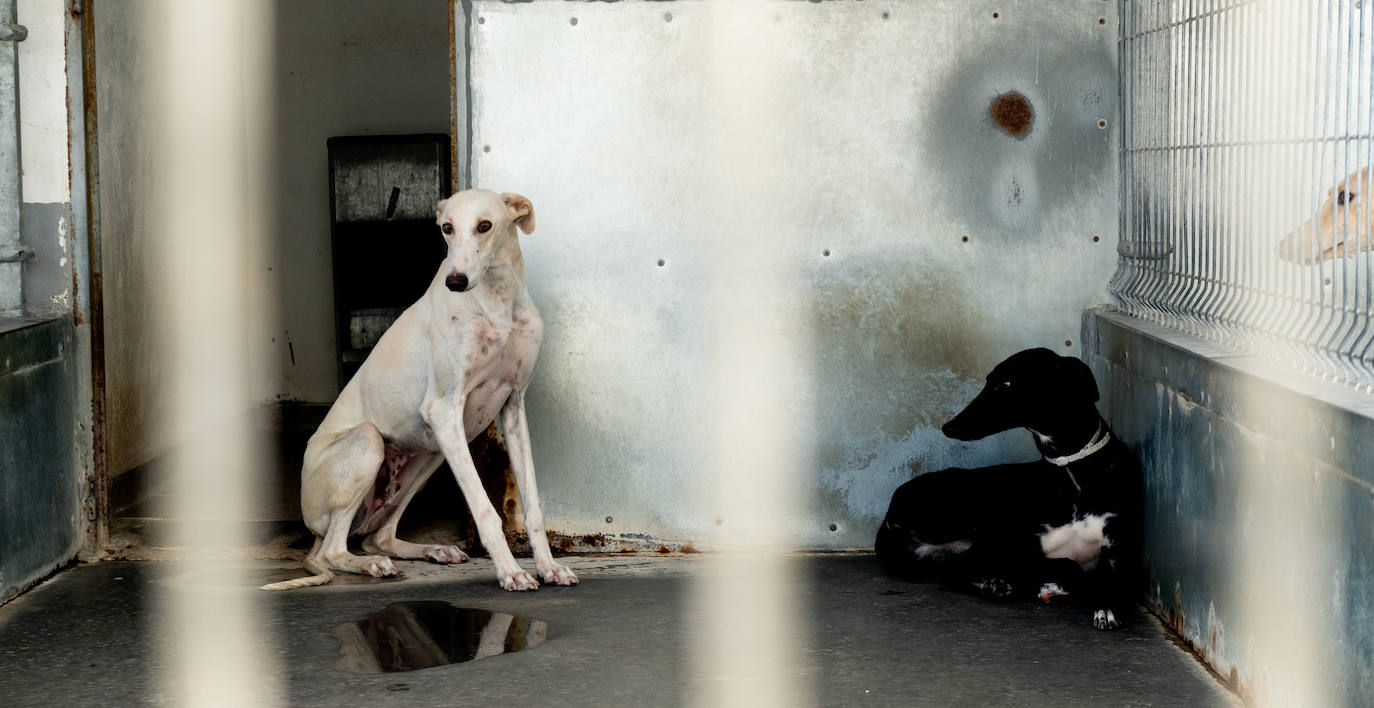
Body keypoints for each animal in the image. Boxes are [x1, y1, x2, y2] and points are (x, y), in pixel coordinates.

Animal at [263, 188, 579, 593]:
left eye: (485, 225)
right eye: (446, 228)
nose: (455, 281)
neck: (496, 299)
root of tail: (309, 521)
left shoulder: (513, 405)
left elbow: (533, 505)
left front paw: (549, 566)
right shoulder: (444, 410)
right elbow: (484, 510)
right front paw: (511, 572)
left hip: (431, 455)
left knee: (376, 536)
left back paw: (433, 550)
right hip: (371, 442)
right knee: (333, 551)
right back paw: (369, 565)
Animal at [879, 349, 1137, 632]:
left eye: (1006, 383)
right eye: (989, 380)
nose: (948, 426)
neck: (1070, 469)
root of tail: (889, 511)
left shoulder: (1121, 550)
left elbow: (1112, 578)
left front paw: (1107, 605)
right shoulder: (1020, 552)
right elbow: (1069, 566)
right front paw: (1060, 586)